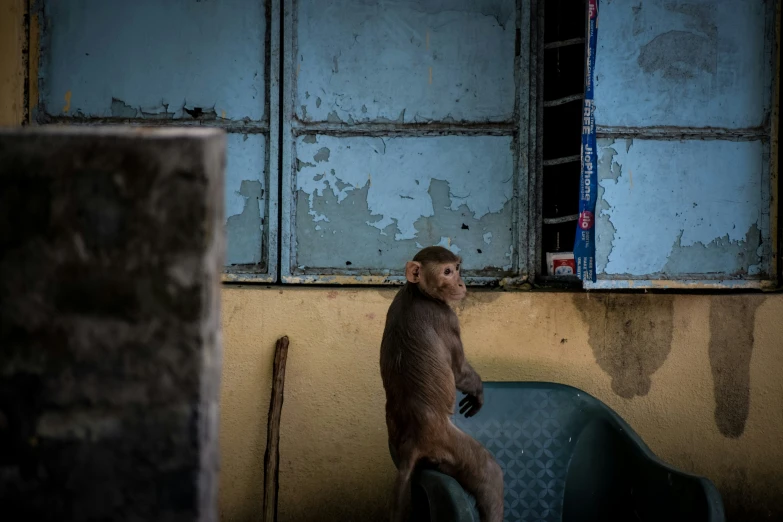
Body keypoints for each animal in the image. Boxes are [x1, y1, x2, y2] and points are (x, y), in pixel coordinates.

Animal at [380, 246, 502, 520]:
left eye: (457, 268)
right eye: (447, 272)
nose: (461, 282)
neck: (417, 292)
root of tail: (413, 442)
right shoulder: (447, 318)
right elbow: (458, 370)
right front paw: (478, 390)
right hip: (447, 446)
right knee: (489, 473)